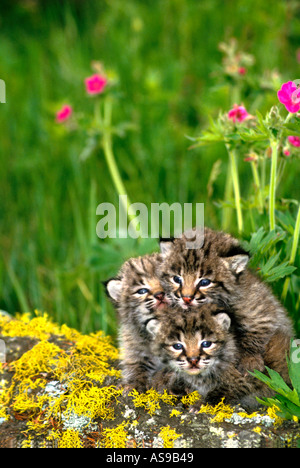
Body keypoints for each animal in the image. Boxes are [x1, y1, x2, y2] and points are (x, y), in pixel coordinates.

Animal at [105, 252, 168, 392]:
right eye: (142, 291)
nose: (160, 294)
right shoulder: (135, 349)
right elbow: (135, 367)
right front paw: (131, 385)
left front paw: (160, 378)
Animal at [159, 228, 292, 376]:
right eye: (177, 279)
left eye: (205, 282)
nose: (186, 298)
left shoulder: (262, 312)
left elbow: (256, 331)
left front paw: (249, 361)